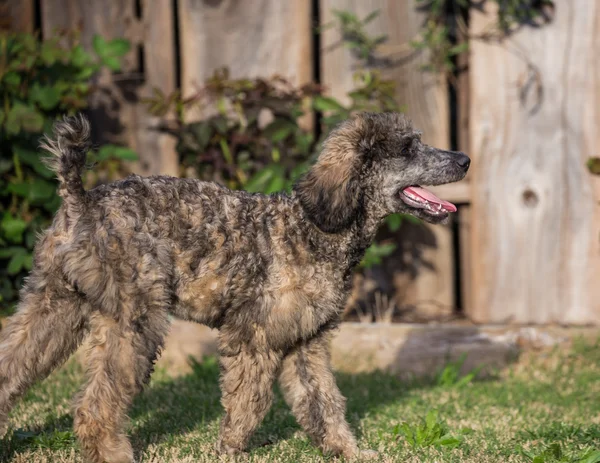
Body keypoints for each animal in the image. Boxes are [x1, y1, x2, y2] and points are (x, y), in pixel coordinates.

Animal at [0, 110, 472, 462]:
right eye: (408, 147)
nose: (465, 159)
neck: (312, 227)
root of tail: (80, 201)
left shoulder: (307, 342)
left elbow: (324, 402)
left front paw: (347, 451)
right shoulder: (253, 337)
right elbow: (248, 401)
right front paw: (229, 449)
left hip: (53, 308)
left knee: (12, 365)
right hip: (134, 322)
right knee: (95, 404)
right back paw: (114, 452)